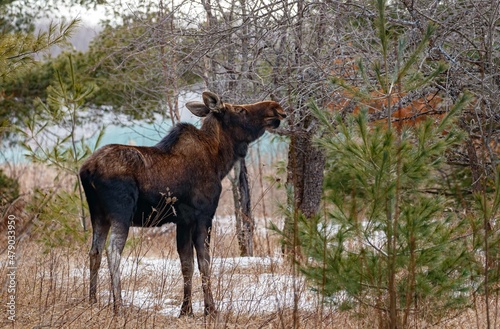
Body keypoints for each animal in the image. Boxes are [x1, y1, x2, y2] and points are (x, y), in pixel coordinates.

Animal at [80, 90, 288, 316]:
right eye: (240, 110)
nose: (276, 108)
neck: (219, 161)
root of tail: (87, 171)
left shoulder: (182, 220)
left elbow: (186, 263)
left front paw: (186, 309)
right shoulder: (203, 215)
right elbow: (204, 263)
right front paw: (210, 309)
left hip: (98, 214)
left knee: (94, 251)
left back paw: (92, 301)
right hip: (121, 213)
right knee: (113, 252)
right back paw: (118, 305)